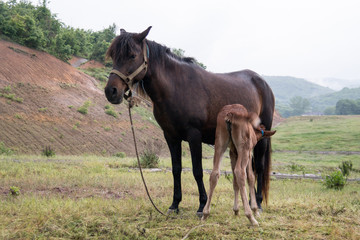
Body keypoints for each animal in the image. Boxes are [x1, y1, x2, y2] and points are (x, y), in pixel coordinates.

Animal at [105, 26, 276, 216]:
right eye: (113, 55)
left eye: (132, 55)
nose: (111, 91)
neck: (176, 87)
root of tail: (262, 82)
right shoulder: (171, 136)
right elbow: (176, 169)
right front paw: (175, 204)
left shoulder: (194, 135)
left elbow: (197, 170)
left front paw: (202, 205)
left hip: (262, 136)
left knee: (259, 167)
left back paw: (258, 203)